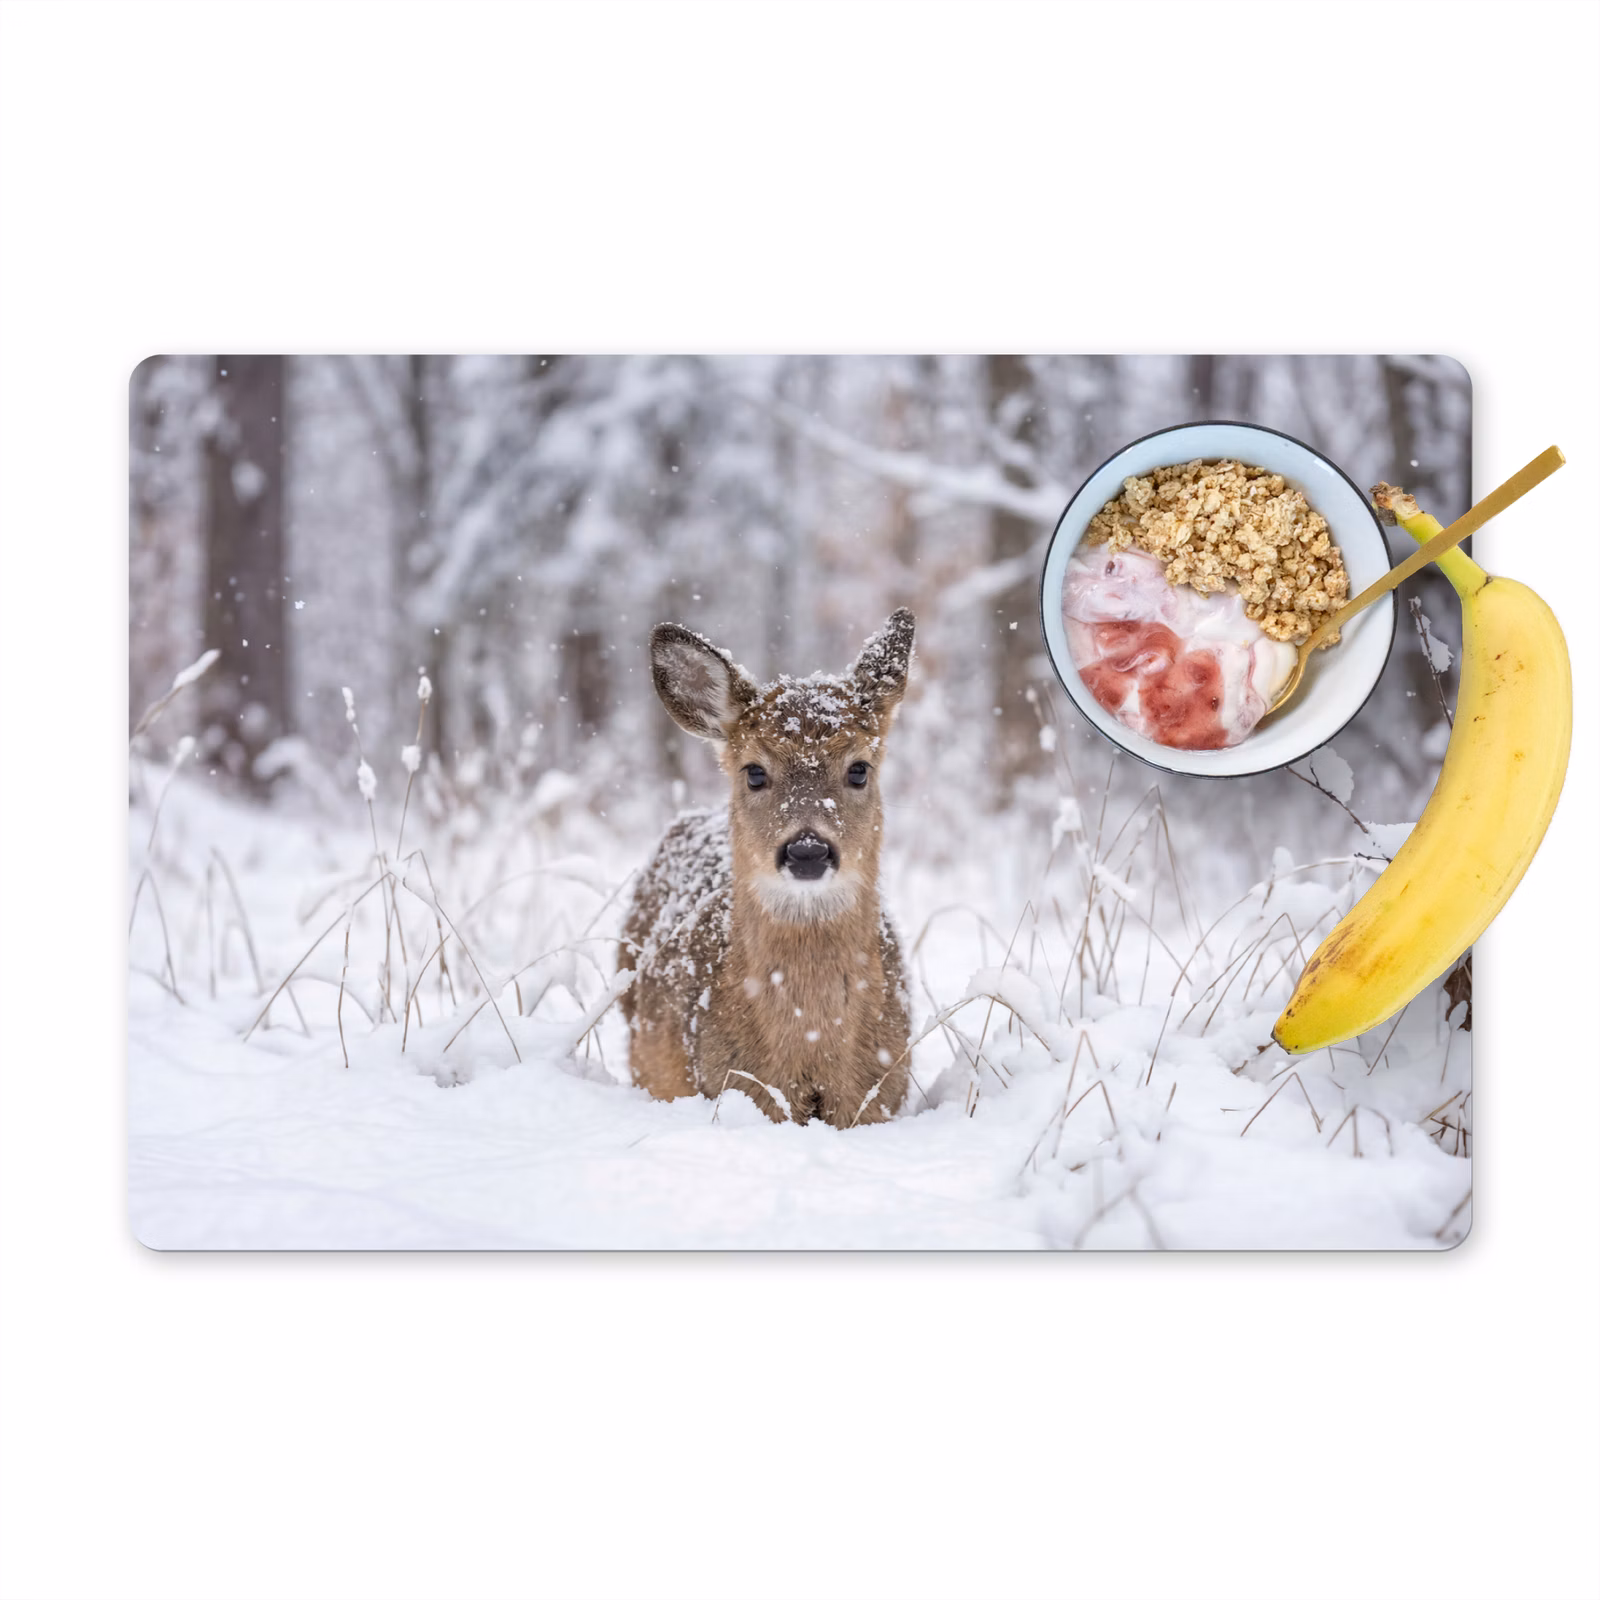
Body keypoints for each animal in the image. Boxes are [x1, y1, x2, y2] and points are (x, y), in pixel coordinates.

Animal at [618, 610, 916, 1129]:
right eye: (755, 771)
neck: (813, 1049)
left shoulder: (879, 1095)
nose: (808, 850)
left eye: (859, 768)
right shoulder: (734, 1085)